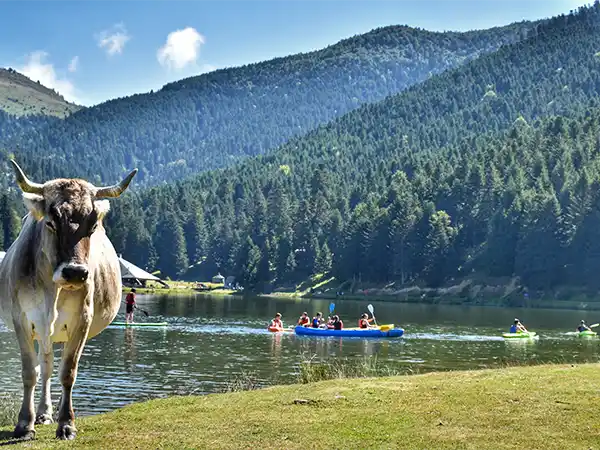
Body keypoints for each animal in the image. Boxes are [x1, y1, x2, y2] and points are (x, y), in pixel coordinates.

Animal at [0, 161, 137, 440]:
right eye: (51, 223)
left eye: (92, 227)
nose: (75, 272)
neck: (51, 290)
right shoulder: (21, 320)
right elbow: (30, 372)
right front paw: (24, 424)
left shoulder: (81, 321)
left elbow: (68, 372)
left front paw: (66, 424)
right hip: (43, 333)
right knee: (45, 366)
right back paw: (41, 414)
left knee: (56, 366)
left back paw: (48, 413)